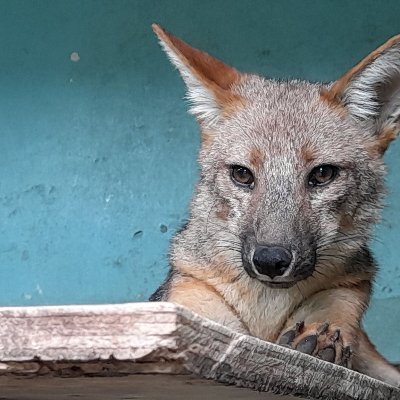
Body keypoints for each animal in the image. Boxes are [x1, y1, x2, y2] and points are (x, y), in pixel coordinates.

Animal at [149, 24, 400, 388]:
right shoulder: (190, 302)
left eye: (322, 174)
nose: (270, 260)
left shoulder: (348, 290)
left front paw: (321, 338)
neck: (266, 317)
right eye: (242, 174)